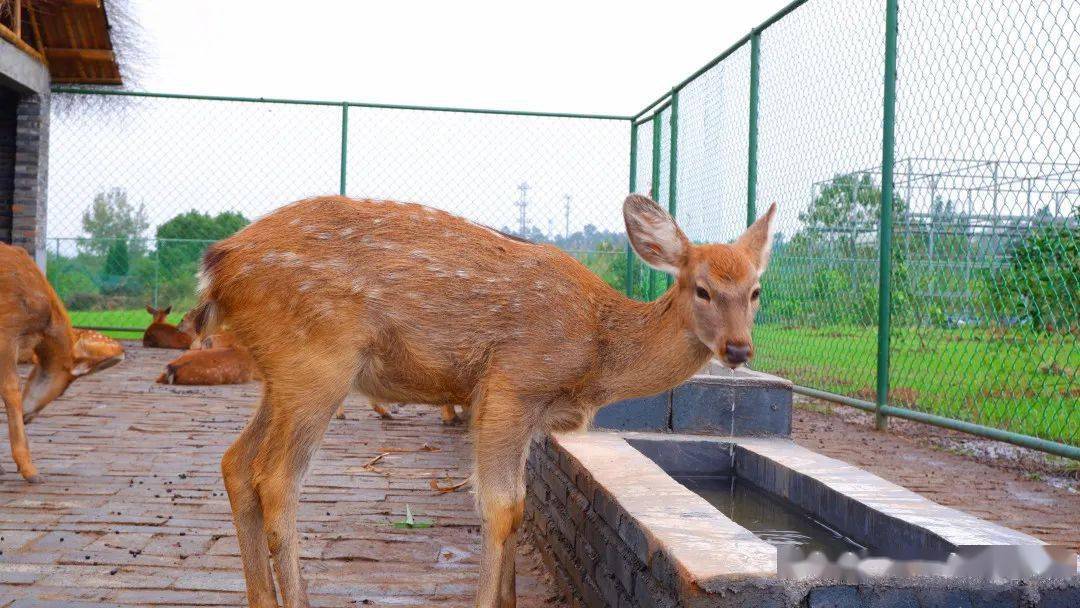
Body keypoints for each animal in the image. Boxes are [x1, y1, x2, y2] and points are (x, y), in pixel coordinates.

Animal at [190, 195, 773, 608]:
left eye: (755, 291)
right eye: (702, 289)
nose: (739, 348)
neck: (597, 351)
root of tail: (216, 268)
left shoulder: (528, 412)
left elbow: (519, 503)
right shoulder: (511, 382)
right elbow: (501, 505)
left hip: (281, 375)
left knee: (236, 462)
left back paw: (260, 598)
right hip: (318, 361)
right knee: (276, 478)